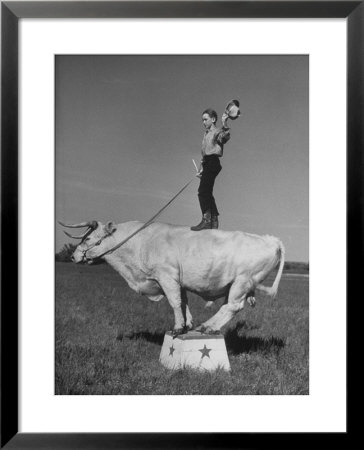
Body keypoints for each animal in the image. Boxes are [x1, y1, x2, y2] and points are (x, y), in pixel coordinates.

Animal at [61, 220, 286, 336]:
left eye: (89, 238)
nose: (73, 256)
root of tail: (271, 240)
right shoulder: (178, 282)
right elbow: (184, 302)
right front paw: (187, 324)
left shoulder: (166, 276)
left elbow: (174, 302)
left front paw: (178, 327)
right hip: (236, 285)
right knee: (228, 307)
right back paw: (207, 325)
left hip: (242, 282)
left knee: (233, 307)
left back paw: (208, 326)